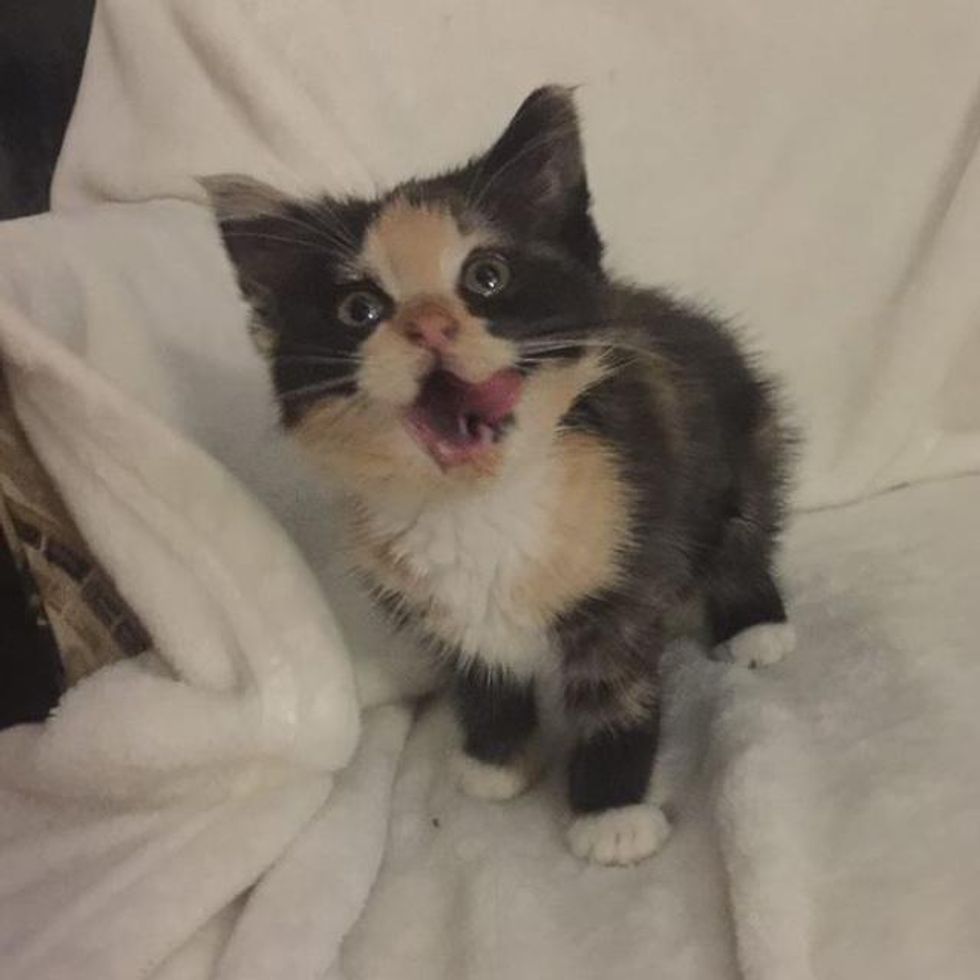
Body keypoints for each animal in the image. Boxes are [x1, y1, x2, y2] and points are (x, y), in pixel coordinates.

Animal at [205, 84, 796, 864]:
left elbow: (618, 691)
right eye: (360, 309)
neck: (476, 503)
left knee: (744, 534)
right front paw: (496, 761)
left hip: (746, 448)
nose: (429, 326)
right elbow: (482, 675)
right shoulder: (437, 608)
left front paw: (611, 812)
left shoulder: (631, 555)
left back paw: (755, 626)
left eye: (486, 277)